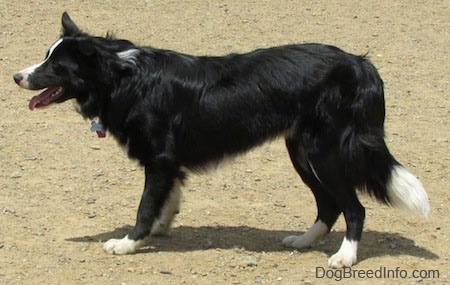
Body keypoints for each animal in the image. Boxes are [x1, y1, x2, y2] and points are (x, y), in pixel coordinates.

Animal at [13, 12, 428, 266]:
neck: (121, 76)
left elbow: (145, 206)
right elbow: (166, 200)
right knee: (328, 205)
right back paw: (303, 241)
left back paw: (345, 257)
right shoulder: (169, 164)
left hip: (324, 152)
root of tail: (361, 63)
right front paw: (161, 228)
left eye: (55, 66)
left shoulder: (159, 159)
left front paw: (130, 242)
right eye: (45, 57)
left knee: (353, 208)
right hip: (301, 151)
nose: (17, 76)